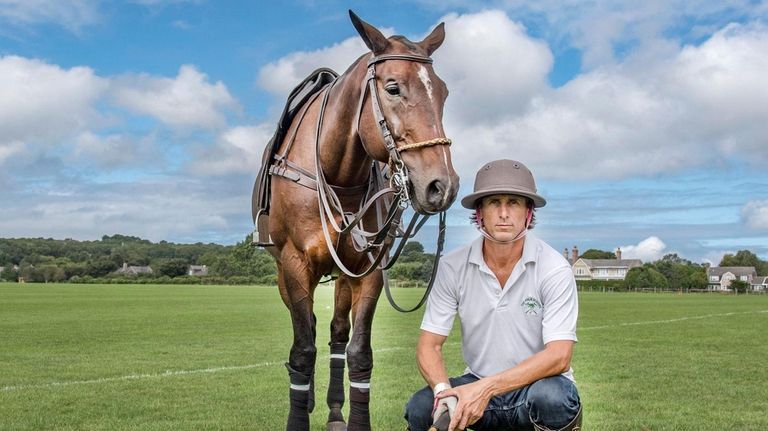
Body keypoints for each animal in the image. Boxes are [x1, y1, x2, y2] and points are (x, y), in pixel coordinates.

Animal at [258, 10, 460, 431]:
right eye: (393, 87)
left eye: (444, 92)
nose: (442, 185)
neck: (339, 173)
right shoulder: (294, 263)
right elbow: (302, 350)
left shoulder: (368, 267)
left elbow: (359, 352)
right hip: (284, 271)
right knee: (308, 331)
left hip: (343, 273)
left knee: (336, 332)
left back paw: (334, 409)